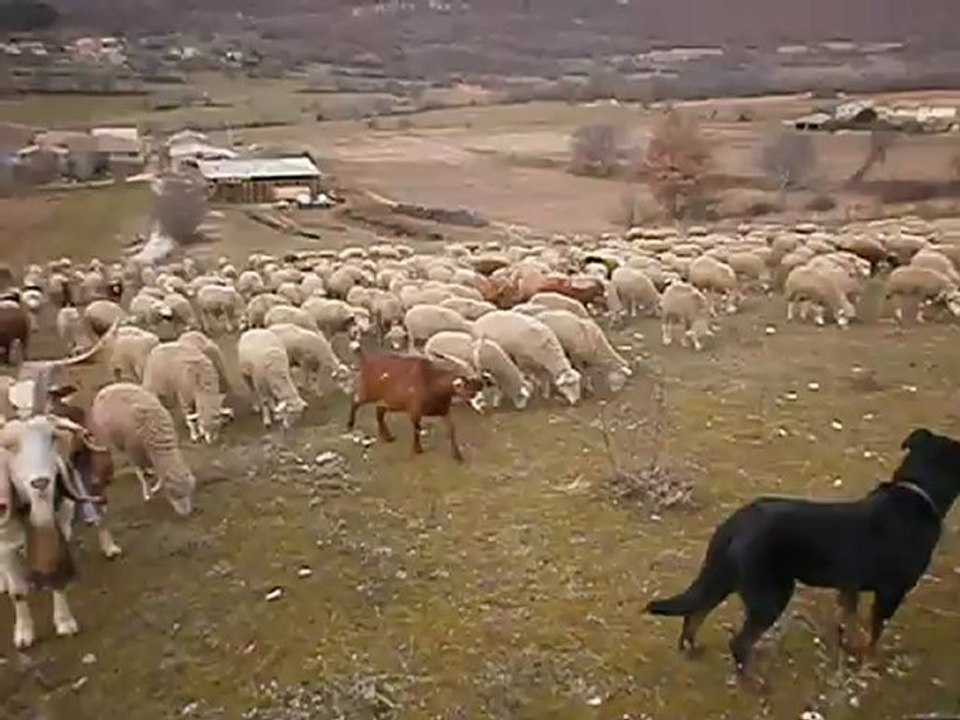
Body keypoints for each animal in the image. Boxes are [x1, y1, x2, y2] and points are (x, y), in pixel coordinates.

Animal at [87, 383, 196, 515]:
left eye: (190, 492)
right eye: (173, 493)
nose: (186, 514)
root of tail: (108, 387)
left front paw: (156, 485)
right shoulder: (135, 453)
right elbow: (141, 474)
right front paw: (147, 492)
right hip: (109, 439)